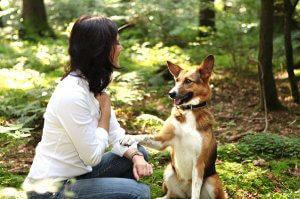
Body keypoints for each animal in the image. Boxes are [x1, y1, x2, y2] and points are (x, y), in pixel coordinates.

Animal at [119, 54, 225, 199]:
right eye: (176, 80)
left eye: (188, 81)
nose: (171, 93)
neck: (188, 111)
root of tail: (185, 195)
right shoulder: (162, 141)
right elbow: (144, 135)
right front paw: (129, 137)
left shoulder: (199, 164)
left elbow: (196, 192)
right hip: (169, 170)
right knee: (169, 195)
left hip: (212, 180)